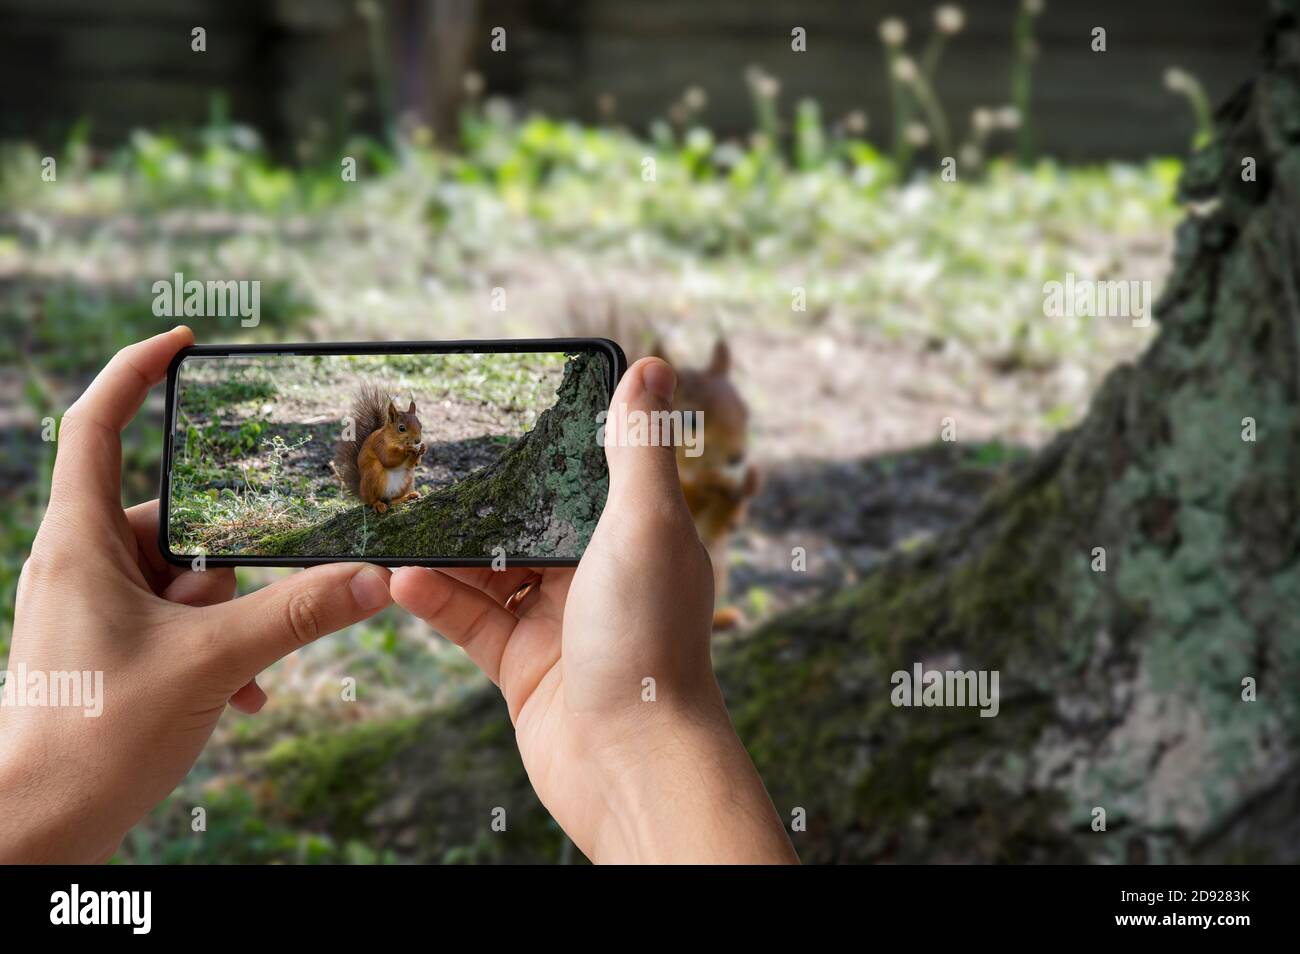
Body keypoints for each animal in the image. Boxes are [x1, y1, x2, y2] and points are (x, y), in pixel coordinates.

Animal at [330, 382, 426, 512]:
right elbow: (387, 459)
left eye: (420, 425)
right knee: (373, 500)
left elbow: (413, 464)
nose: (418, 440)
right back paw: (378, 504)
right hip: (372, 475)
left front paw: (422, 449)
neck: (396, 442)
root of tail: (362, 493)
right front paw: (407, 450)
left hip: (408, 479)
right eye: (401, 428)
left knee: (392, 500)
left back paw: (408, 496)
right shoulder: (379, 444)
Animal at [650, 340, 759, 631]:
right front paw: (713, 482)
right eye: (690, 420)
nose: (738, 456)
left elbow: (723, 524)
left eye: (745, 411)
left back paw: (724, 617)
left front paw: (750, 481)